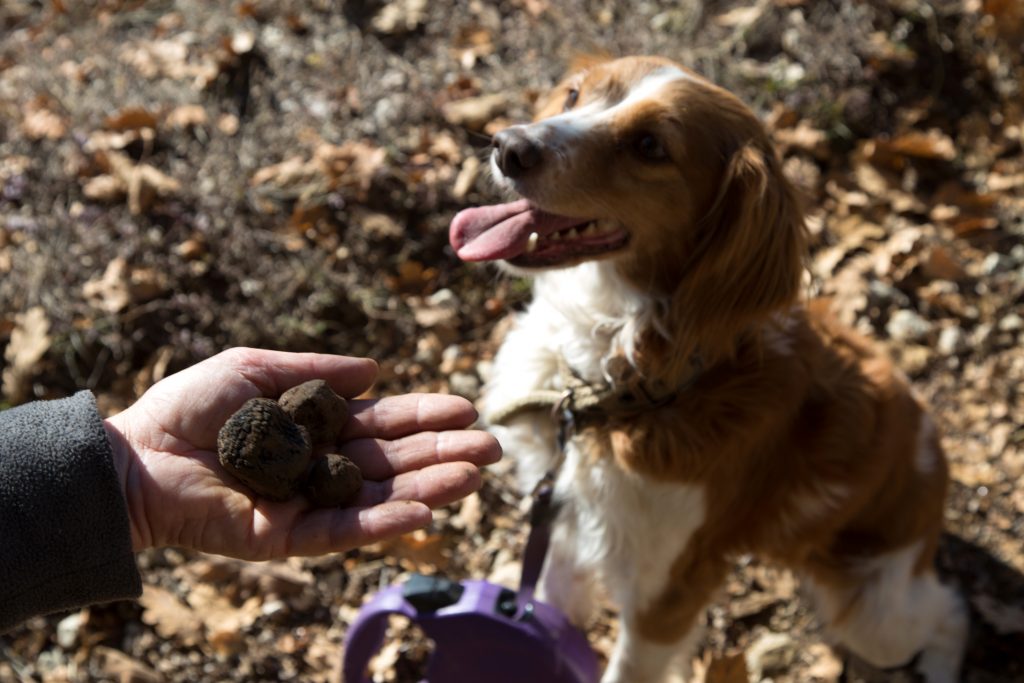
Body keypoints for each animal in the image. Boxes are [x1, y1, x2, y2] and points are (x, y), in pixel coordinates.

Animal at [450, 56, 966, 679]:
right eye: (574, 94)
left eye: (649, 145)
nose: (509, 146)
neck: (627, 386)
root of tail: (933, 449)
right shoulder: (567, 528)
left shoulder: (666, 594)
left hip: (875, 614)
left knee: (947, 611)